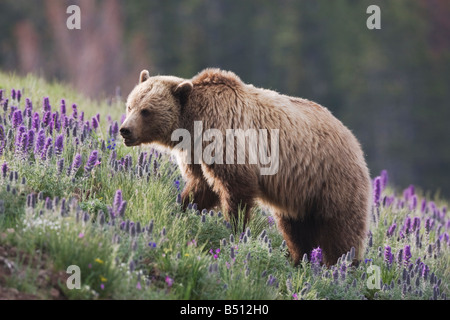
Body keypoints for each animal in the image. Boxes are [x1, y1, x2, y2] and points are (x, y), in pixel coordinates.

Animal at [119, 68, 370, 264]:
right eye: (130, 105)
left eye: (146, 110)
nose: (125, 130)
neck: (193, 124)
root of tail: (354, 140)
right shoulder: (197, 153)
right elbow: (201, 188)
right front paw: (181, 210)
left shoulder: (226, 138)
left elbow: (235, 189)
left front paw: (235, 230)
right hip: (300, 195)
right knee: (296, 230)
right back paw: (300, 260)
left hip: (332, 180)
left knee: (341, 231)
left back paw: (342, 266)